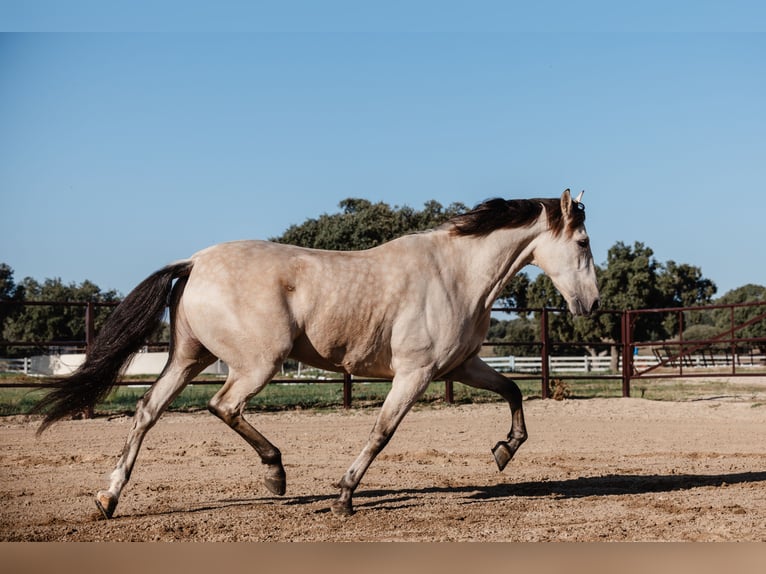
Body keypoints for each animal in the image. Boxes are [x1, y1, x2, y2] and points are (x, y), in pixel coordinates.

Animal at [34, 189, 600, 516]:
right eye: (583, 243)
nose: (591, 304)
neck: (456, 274)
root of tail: (194, 261)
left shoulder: (460, 365)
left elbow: (514, 391)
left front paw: (505, 450)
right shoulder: (415, 373)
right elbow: (381, 433)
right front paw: (344, 497)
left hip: (188, 358)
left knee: (147, 411)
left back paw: (108, 498)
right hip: (258, 363)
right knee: (222, 405)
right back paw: (275, 474)